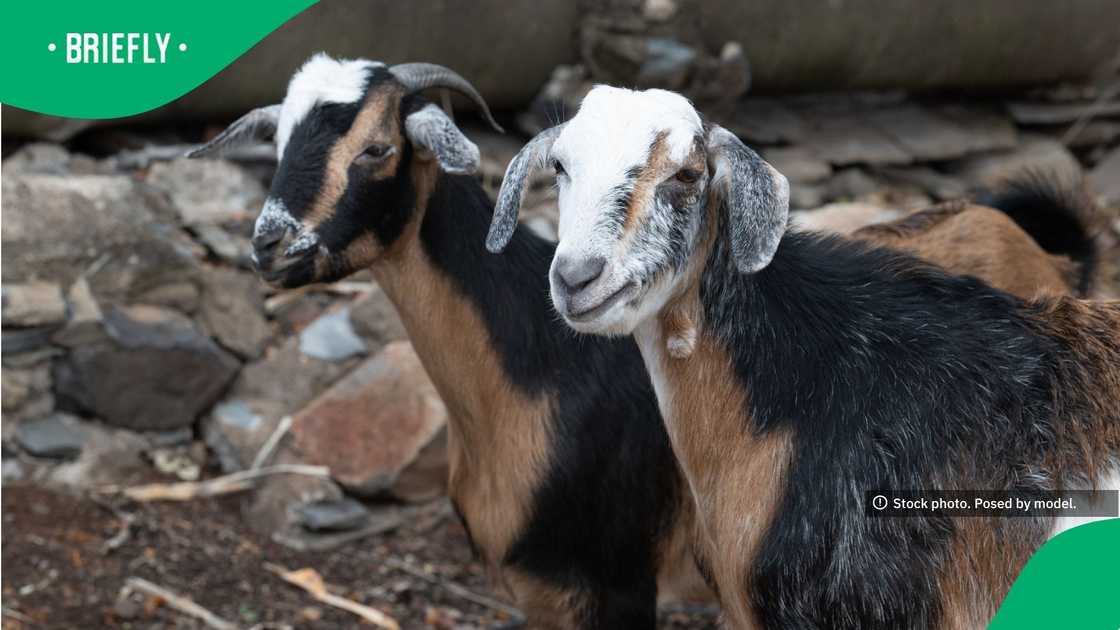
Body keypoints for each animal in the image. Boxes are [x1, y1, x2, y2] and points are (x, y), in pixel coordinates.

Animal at [189, 54, 708, 629]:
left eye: (377, 148)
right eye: (279, 143)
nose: (270, 246)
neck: (541, 369)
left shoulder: (617, 581)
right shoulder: (541, 591)